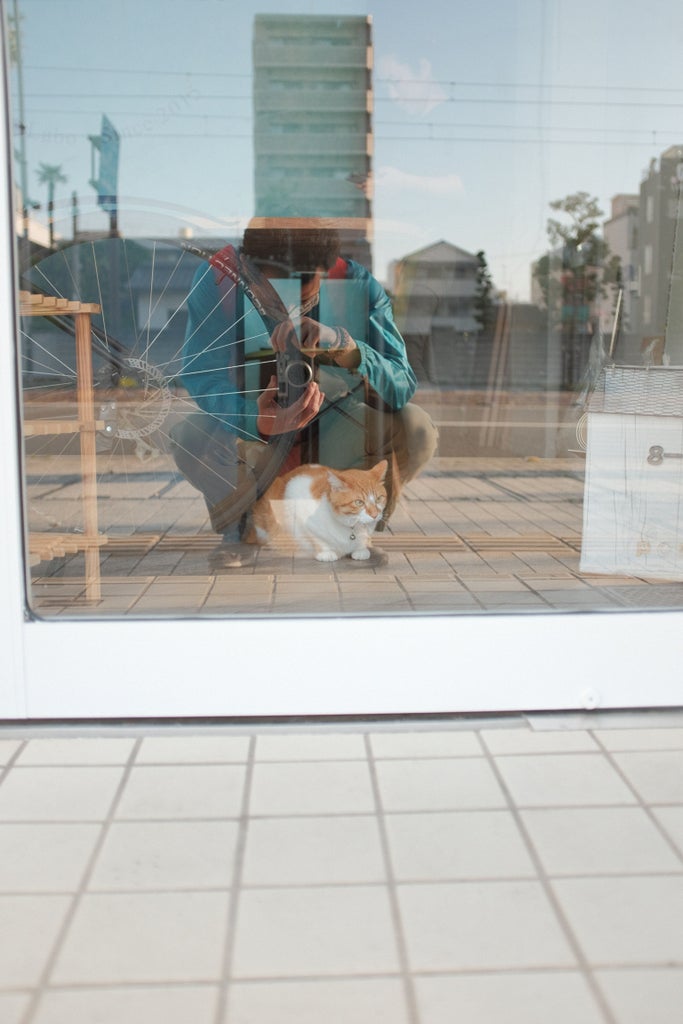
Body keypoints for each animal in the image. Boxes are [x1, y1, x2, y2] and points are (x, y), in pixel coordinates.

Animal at [249, 462, 389, 561]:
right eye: (359, 502)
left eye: (378, 499)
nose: (375, 515)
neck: (351, 527)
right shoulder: (297, 499)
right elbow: (316, 537)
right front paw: (326, 552)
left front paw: (361, 549)